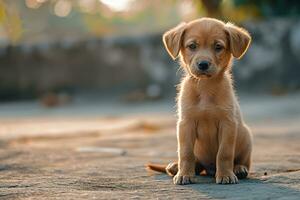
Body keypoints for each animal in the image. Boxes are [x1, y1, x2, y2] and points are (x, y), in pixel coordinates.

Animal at [148, 18, 253, 185]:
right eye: (192, 46)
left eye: (218, 47)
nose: (203, 64)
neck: (205, 88)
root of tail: (209, 169)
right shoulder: (186, 124)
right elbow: (186, 153)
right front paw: (184, 174)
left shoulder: (228, 124)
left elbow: (224, 153)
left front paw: (225, 175)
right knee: (196, 163)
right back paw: (175, 167)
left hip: (246, 137)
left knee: (242, 161)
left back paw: (239, 169)